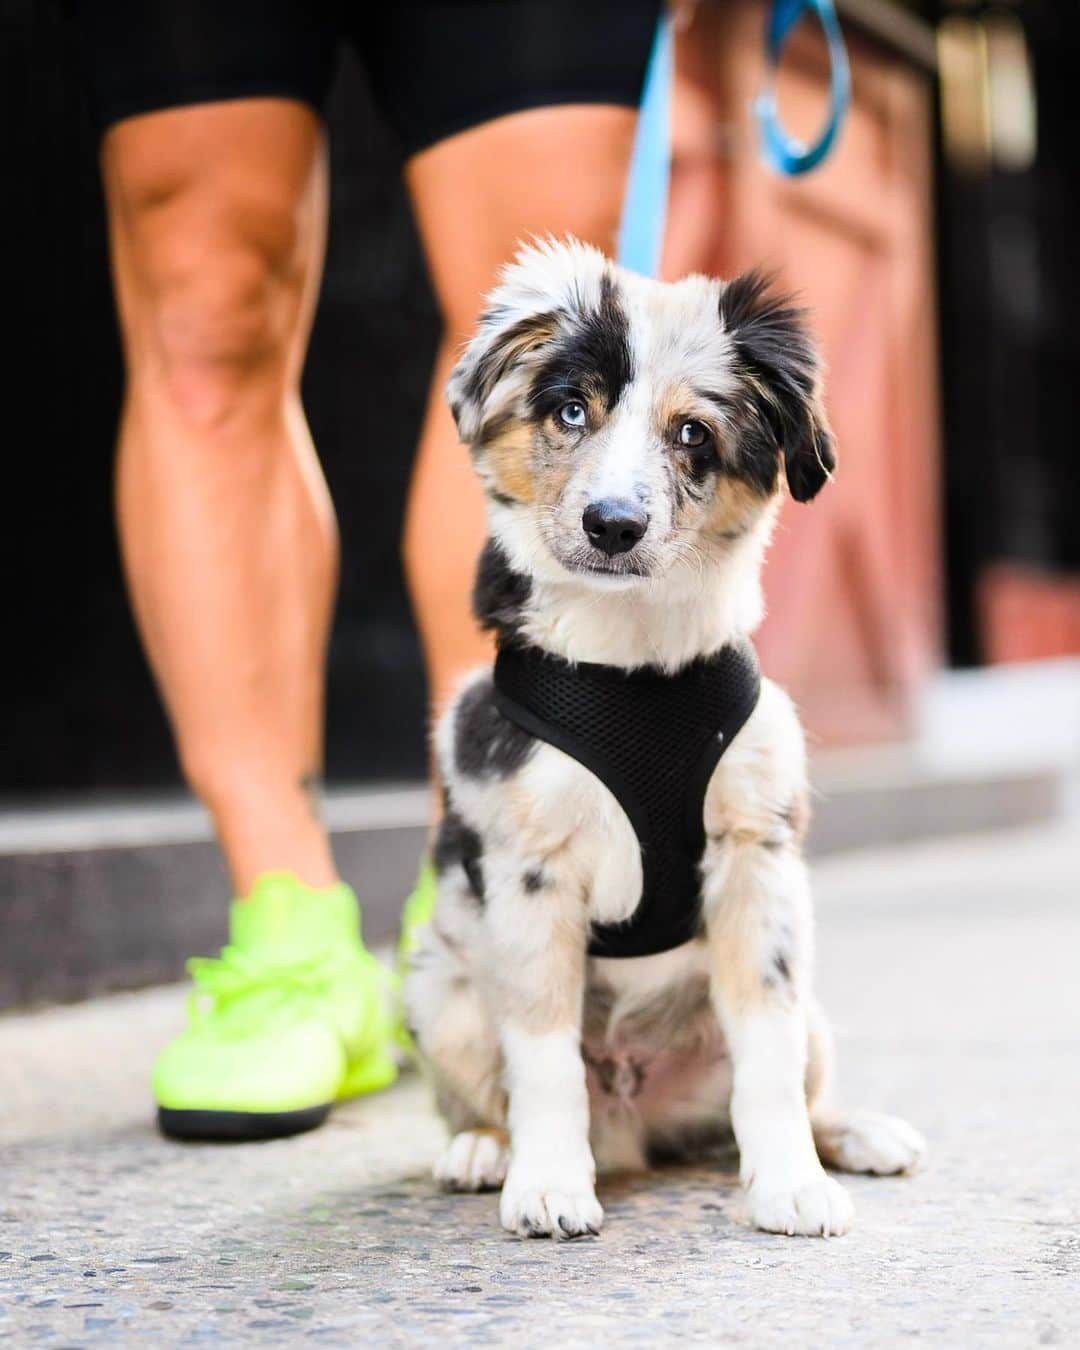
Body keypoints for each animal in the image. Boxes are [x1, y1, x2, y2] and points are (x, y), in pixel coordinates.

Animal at [399, 237, 923, 1236]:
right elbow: (542, 1053)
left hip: (811, 1011)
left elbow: (766, 1053)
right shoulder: (529, 872)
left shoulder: (756, 857)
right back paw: (486, 1150)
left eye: (694, 436)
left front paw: (791, 1182)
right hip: (438, 988)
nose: (613, 525)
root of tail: (635, 1121)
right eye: (571, 410)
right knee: (489, 1089)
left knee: (794, 1079)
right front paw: (549, 1183)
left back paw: (856, 1134)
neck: (633, 665)